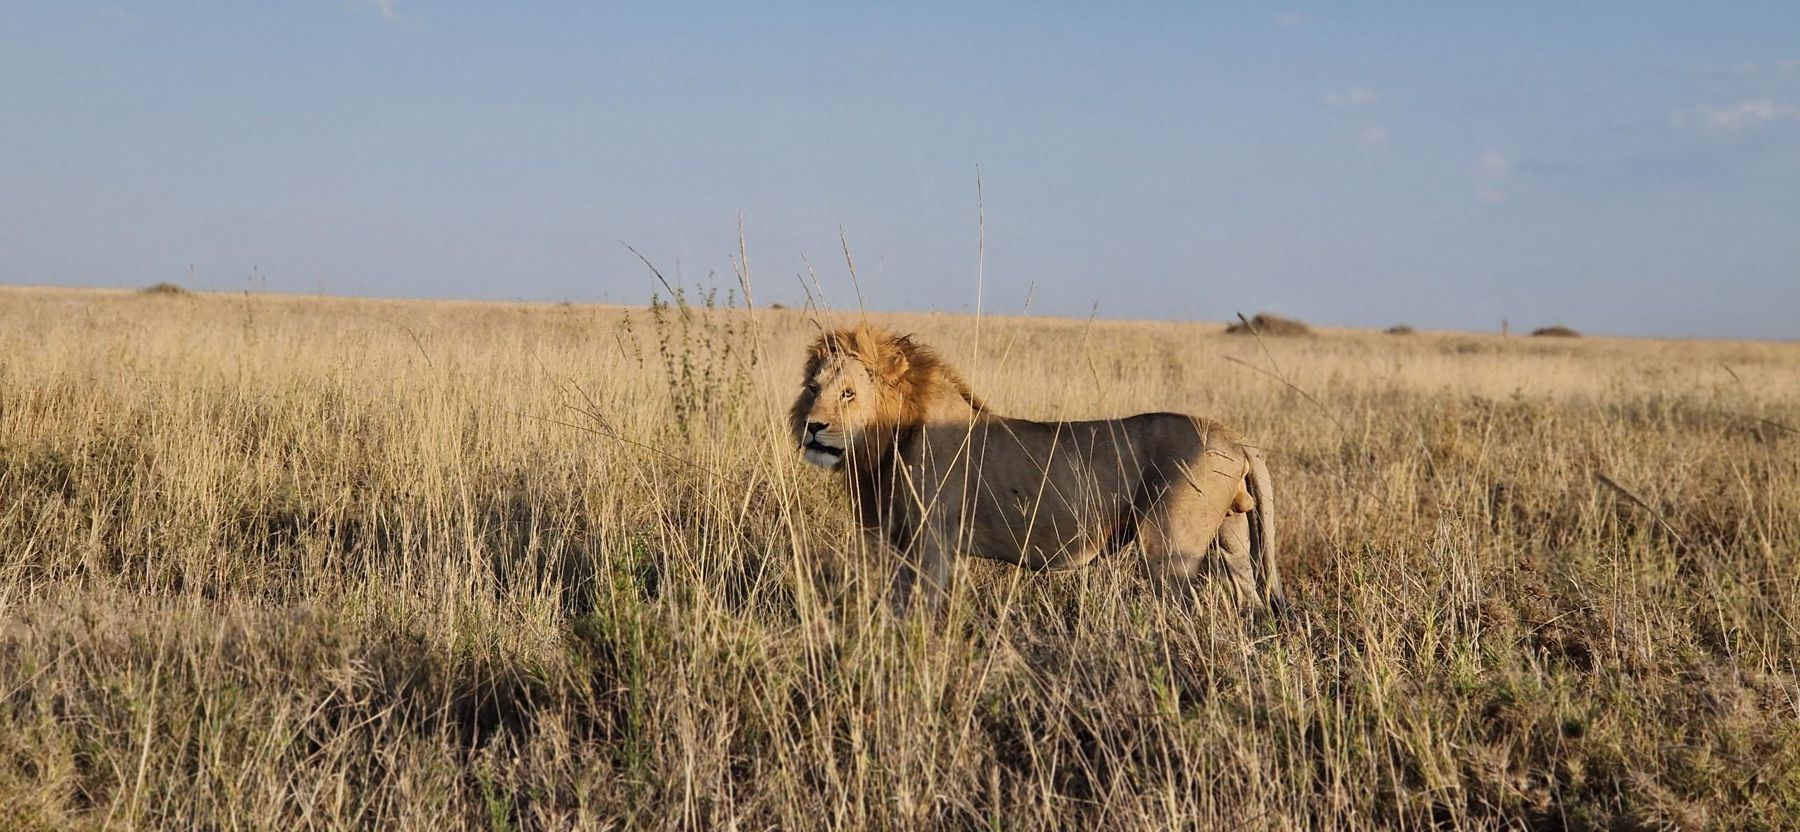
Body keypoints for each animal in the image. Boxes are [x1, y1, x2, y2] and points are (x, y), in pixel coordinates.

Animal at [789, 325, 1288, 616]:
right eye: (813, 388)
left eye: (849, 393)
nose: (813, 427)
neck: (886, 440)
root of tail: (1233, 435)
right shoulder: (897, 542)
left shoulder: (932, 542)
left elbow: (922, 609)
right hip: (1232, 537)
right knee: (1249, 597)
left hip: (1168, 548)